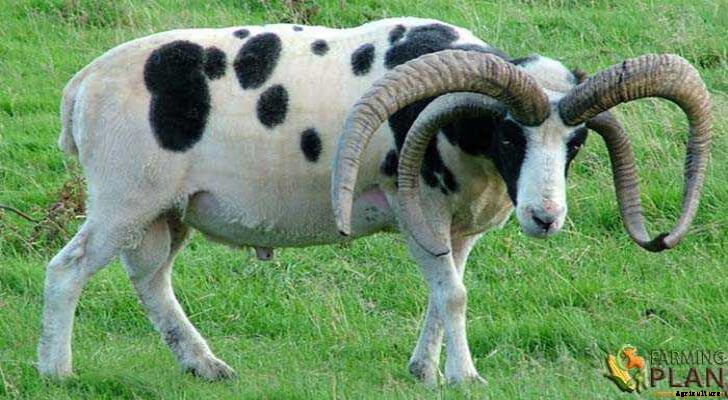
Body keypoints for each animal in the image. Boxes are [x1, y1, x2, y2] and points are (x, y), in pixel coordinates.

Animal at [39, 17, 711, 384]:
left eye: (575, 144)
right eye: (506, 135)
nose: (545, 217)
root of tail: (82, 86)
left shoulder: (457, 227)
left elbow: (445, 294)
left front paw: (425, 372)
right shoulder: (421, 210)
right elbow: (454, 295)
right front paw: (465, 377)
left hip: (165, 210)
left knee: (150, 279)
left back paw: (206, 367)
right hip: (123, 200)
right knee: (67, 270)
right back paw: (57, 370)